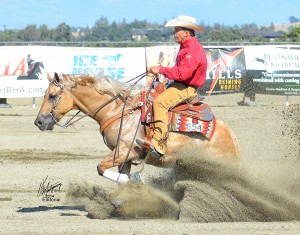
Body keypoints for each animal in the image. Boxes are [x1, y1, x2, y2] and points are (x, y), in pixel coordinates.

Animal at [34, 73, 240, 184]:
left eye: (52, 96)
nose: (39, 122)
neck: (116, 110)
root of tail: (231, 136)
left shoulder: (125, 150)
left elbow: (101, 168)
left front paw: (136, 180)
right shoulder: (123, 157)